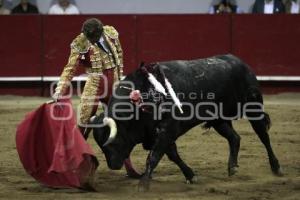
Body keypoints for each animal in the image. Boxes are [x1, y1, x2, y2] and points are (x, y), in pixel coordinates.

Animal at [91, 54, 282, 191]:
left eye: (112, 142)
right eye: (101, 146)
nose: (113, 166)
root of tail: (241, 63)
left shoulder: (166, 131)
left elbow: (154, 156)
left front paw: (143, 184)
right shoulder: (157, 134)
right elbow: (172, 155)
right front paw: (191, 176)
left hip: (254, 108)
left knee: (263, 136)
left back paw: (276, 167)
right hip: (218, 119)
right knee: (234, 138)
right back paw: (232, 167)